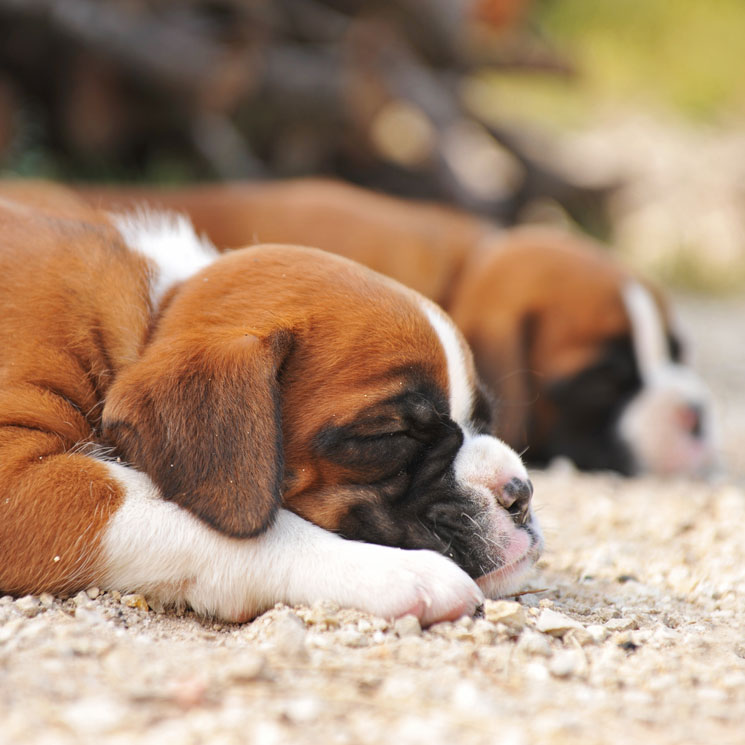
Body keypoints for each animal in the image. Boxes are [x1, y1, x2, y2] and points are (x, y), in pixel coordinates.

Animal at [0, 183, 544, 624]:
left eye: (483, 419)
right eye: (389, 436)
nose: (520, 494)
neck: (150, 320)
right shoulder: (20, 480)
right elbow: (215, 525)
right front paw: (386, 571)